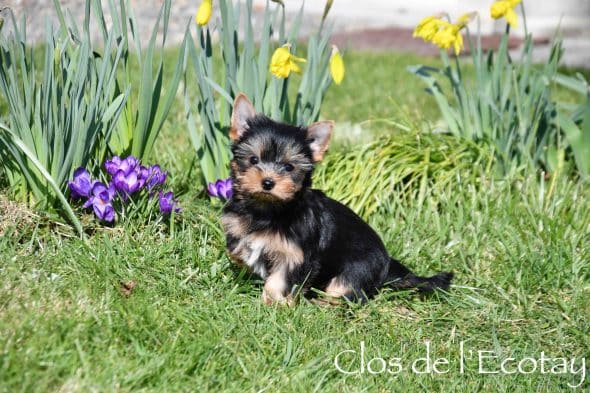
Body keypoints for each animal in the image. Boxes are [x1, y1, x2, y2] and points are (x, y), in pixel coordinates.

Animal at [221, 93, 454, 304]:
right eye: (253, 160)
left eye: (289, 167)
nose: (268, 183)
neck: (268, 209)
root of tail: (387, 266)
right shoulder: (237, 228)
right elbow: (237, 251)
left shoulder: (296, 255)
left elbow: (279, 280)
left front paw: (276, 304)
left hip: (357, 270)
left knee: (348, 294)